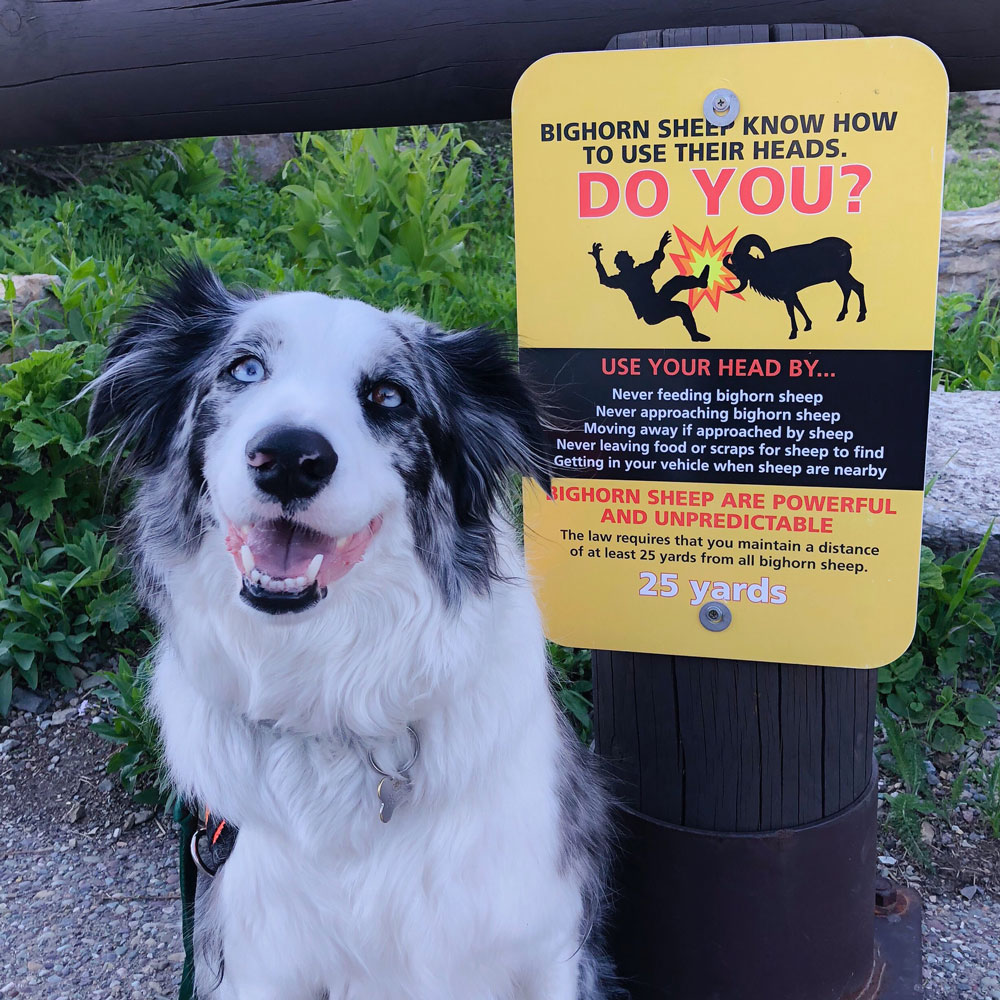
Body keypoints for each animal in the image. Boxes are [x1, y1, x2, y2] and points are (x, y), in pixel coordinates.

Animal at [90, 266, 612, 1000]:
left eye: (389, 396)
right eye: (244, 368)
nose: (288, 457)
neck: (335, 706)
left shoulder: (542, 937)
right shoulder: (262, 952)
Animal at [720, 235, 868, 340]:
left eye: (742, 262)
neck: (765, 269)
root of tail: (847, 247)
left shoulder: (787, 295)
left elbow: (791, 312)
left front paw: (793, 333)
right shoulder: (792, 294)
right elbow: (799, 306)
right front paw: (808, 326)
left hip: (842, 275)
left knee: (857, 287)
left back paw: (861, 316)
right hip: (840, 277)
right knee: (849, 289)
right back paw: (842, 315)